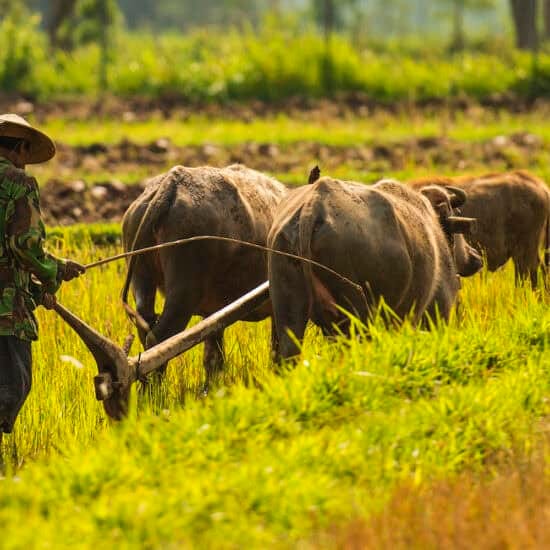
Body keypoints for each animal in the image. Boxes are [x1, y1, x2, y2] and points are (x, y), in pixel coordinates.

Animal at [121, 164, 287, 386]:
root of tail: (170, 184)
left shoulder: (213, 313)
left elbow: (213, 356)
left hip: (142, 277)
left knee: (145, 326)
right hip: (184, 290)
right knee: (161, 338)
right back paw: (154, 390)